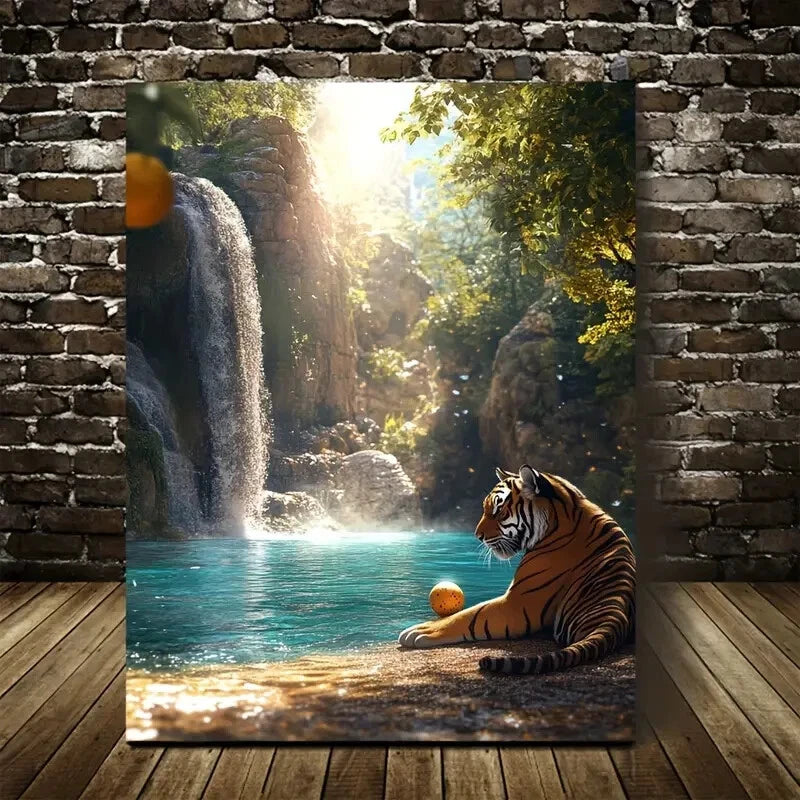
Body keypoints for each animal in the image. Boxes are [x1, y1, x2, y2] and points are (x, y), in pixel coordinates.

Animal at [398, 464, 635, 675]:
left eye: (499, 510)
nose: (477, 535)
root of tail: (615, 614)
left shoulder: (516, 604)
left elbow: (468, 615)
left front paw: (420, 631)